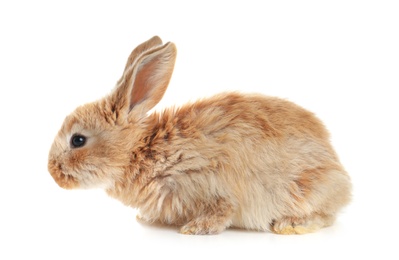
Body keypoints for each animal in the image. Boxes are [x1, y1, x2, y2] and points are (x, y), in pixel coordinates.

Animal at [48, 35, 352, 235]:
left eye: (78, 140)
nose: (52, 172)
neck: (140, 150)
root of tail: (341, 175)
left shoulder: (208, 180)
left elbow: (222, 209)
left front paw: (195, 228)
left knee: (326, 215)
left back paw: (290, 225)